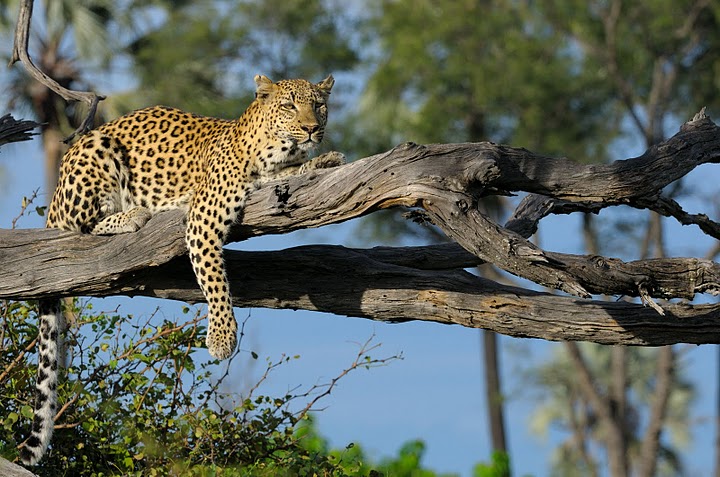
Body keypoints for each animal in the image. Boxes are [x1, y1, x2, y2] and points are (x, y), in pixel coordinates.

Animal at [20, 74, 344, 466]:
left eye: (319, 105)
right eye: (288, 106)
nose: (312, 128)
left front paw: (327, 160)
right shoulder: (203, 217)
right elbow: (215, 280)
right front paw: (222, 337)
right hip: (96, 155)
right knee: (81, 229)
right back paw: (133, 214)